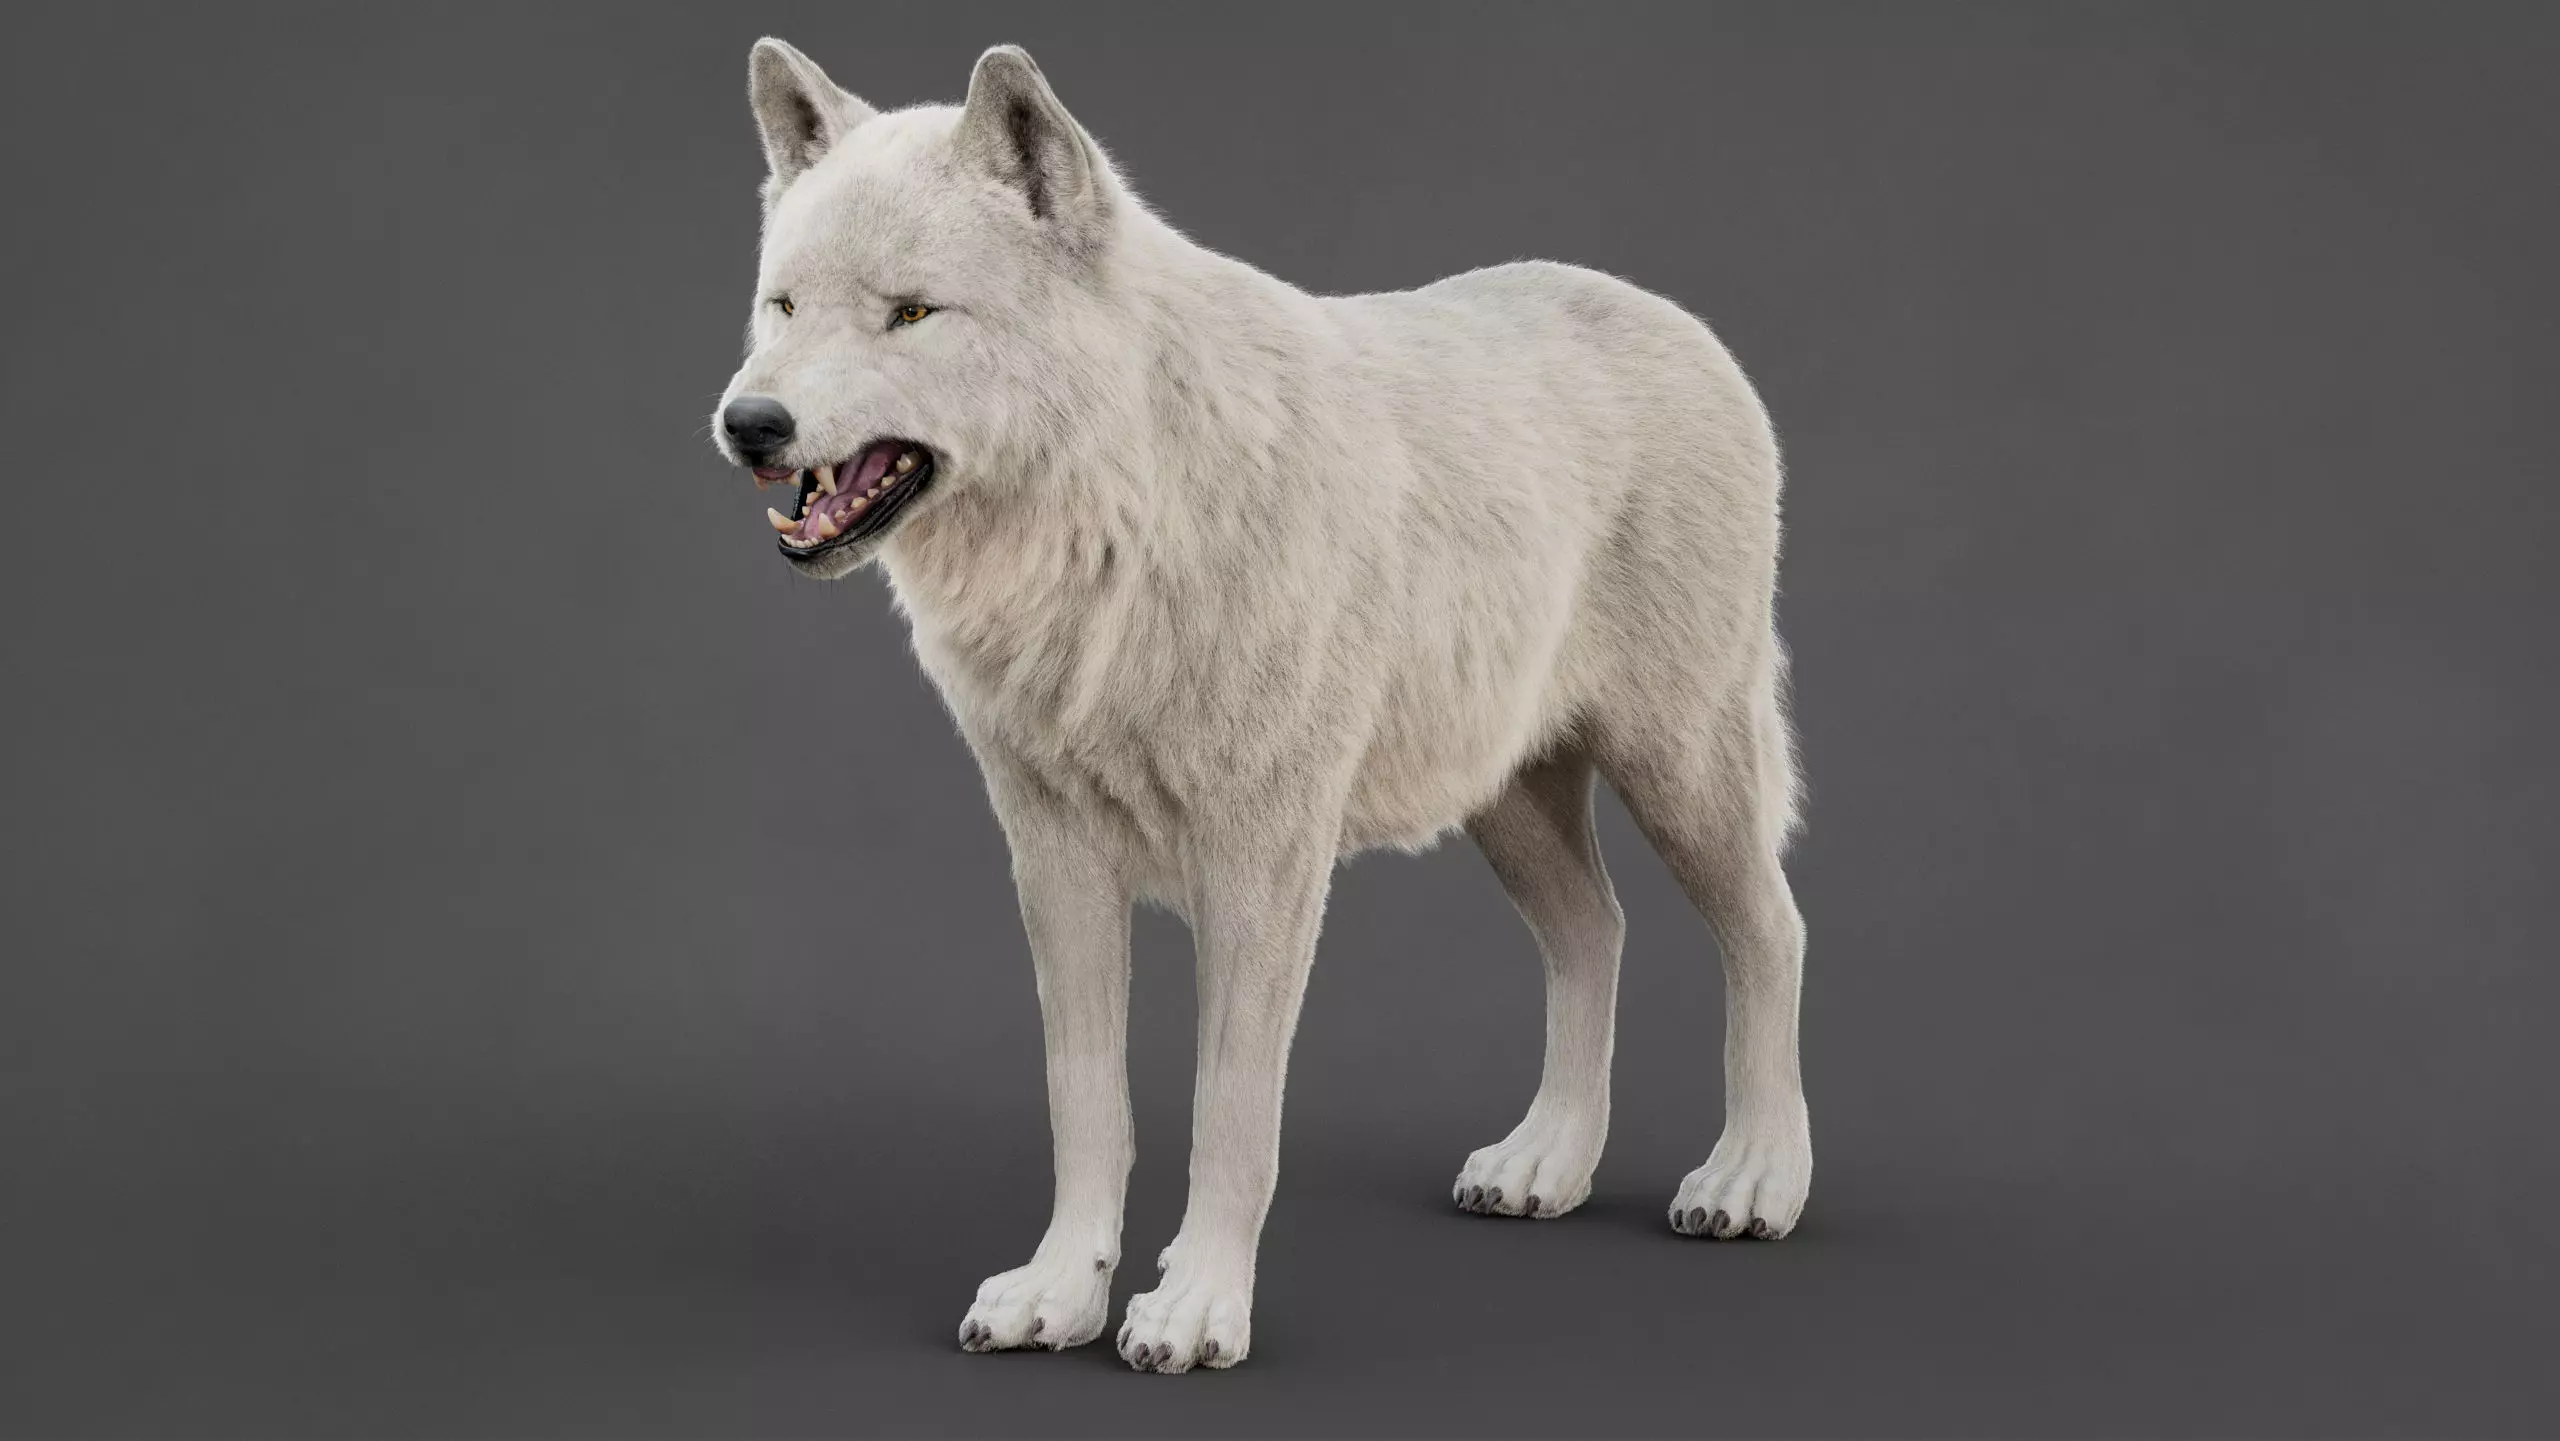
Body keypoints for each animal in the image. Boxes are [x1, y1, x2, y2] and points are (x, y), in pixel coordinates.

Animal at [710, 39, 1813, 1373]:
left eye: (911, 313)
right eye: (784, 307)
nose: (747, 424)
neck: (1121, 524)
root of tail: (1683, 323)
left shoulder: (1262, 863)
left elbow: (1229, 1113)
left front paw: (1194, 1310)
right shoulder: (1053, 860)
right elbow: (1087, 1103)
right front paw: (1058, 1296)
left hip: (1680, 769)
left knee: (1770, 933)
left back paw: (1753, 1178)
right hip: (1506, 801)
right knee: (1595, 931)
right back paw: (1544, 1163)